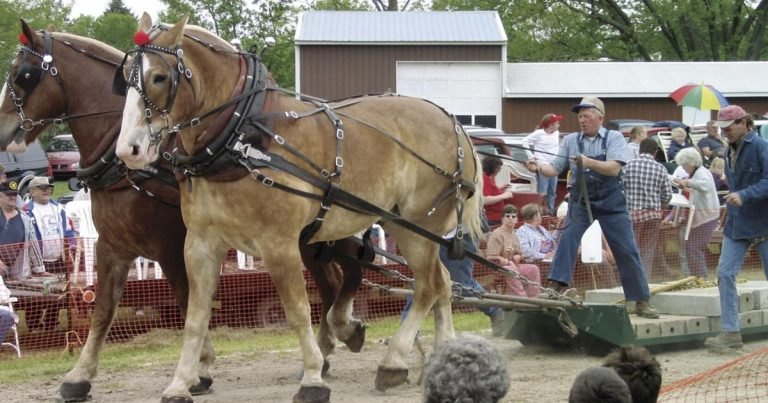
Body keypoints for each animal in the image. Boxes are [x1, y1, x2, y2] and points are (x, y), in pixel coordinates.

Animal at [0, 21, 368, 403]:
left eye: (22, 74)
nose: (3, 132)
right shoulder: (112, 246)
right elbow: (104, 311)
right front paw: (79, 376)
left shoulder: (172, 248)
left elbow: (186, 303)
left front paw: (199, 370)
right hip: (308, 238)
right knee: (332, 282)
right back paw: (327, 349)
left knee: (350, 274)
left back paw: (340, 334)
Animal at [115, 14, 484, 402]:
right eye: (124, 79)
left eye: (159, 77)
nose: (128, 149)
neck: (244, 137)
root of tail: (455, 124)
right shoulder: (200, 244)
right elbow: (196, 318)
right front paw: (180, 382)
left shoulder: (278, 244)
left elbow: (297, 310)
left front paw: (312, 377)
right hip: (408, 227)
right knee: (443, 284)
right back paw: (445, 354)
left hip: (418, 225)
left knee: (428, 286)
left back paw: (393, 362)